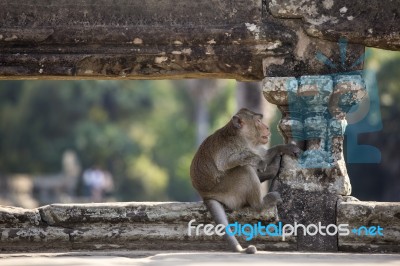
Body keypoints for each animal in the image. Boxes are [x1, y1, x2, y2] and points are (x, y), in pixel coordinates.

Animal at [191, 107, 300, 252]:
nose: (266, 127)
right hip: (228, 190)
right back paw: (261, 203)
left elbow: (264, 155)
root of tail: (206, 196)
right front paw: (259, 161)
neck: (244, 140)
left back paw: (273, 169)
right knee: (245, 169)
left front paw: (282, 148)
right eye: (258, 121)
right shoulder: (230, 147)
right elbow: (231, 161)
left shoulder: (254, 147)